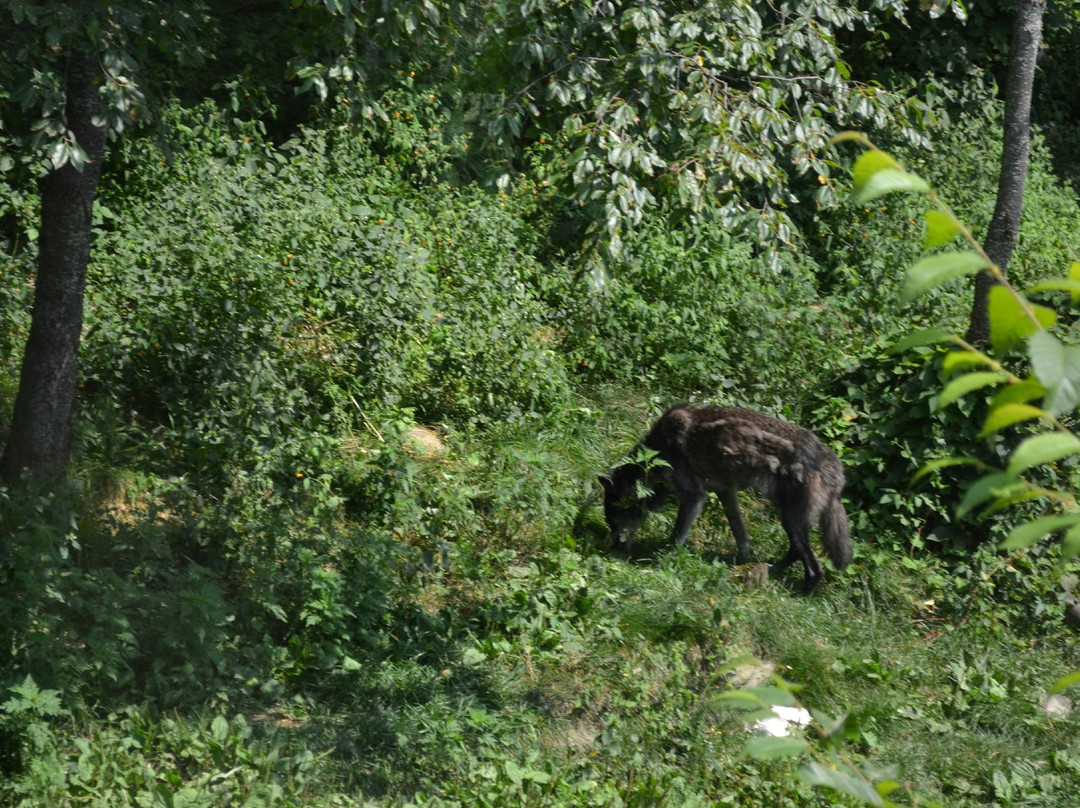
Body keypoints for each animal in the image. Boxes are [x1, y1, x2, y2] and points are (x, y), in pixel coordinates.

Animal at [600, 404, 851, 591]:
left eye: (615, 518)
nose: (613, 549)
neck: (658, 451)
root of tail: (834, 468)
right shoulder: (726, 492)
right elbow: (741, 534)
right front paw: (743, 561)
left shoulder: (694, 496)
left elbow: (676, 536)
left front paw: (662, 561)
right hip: (787, 516)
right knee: (796, 551)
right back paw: (770, 571)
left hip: (789, 517)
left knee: (813, 567)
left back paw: (802, 595)